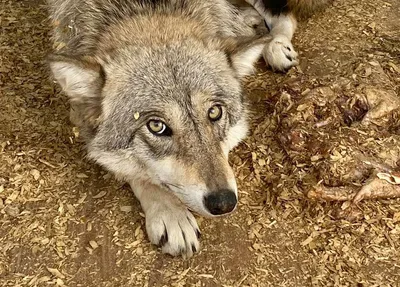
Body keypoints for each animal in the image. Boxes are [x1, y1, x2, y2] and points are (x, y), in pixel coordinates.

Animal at [47, 0, 332, 258]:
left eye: (214, 112)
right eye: (156, 126)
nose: (224, 203)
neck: (145, 9)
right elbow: (139, 174)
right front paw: (171, 214)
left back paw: (274, 44)